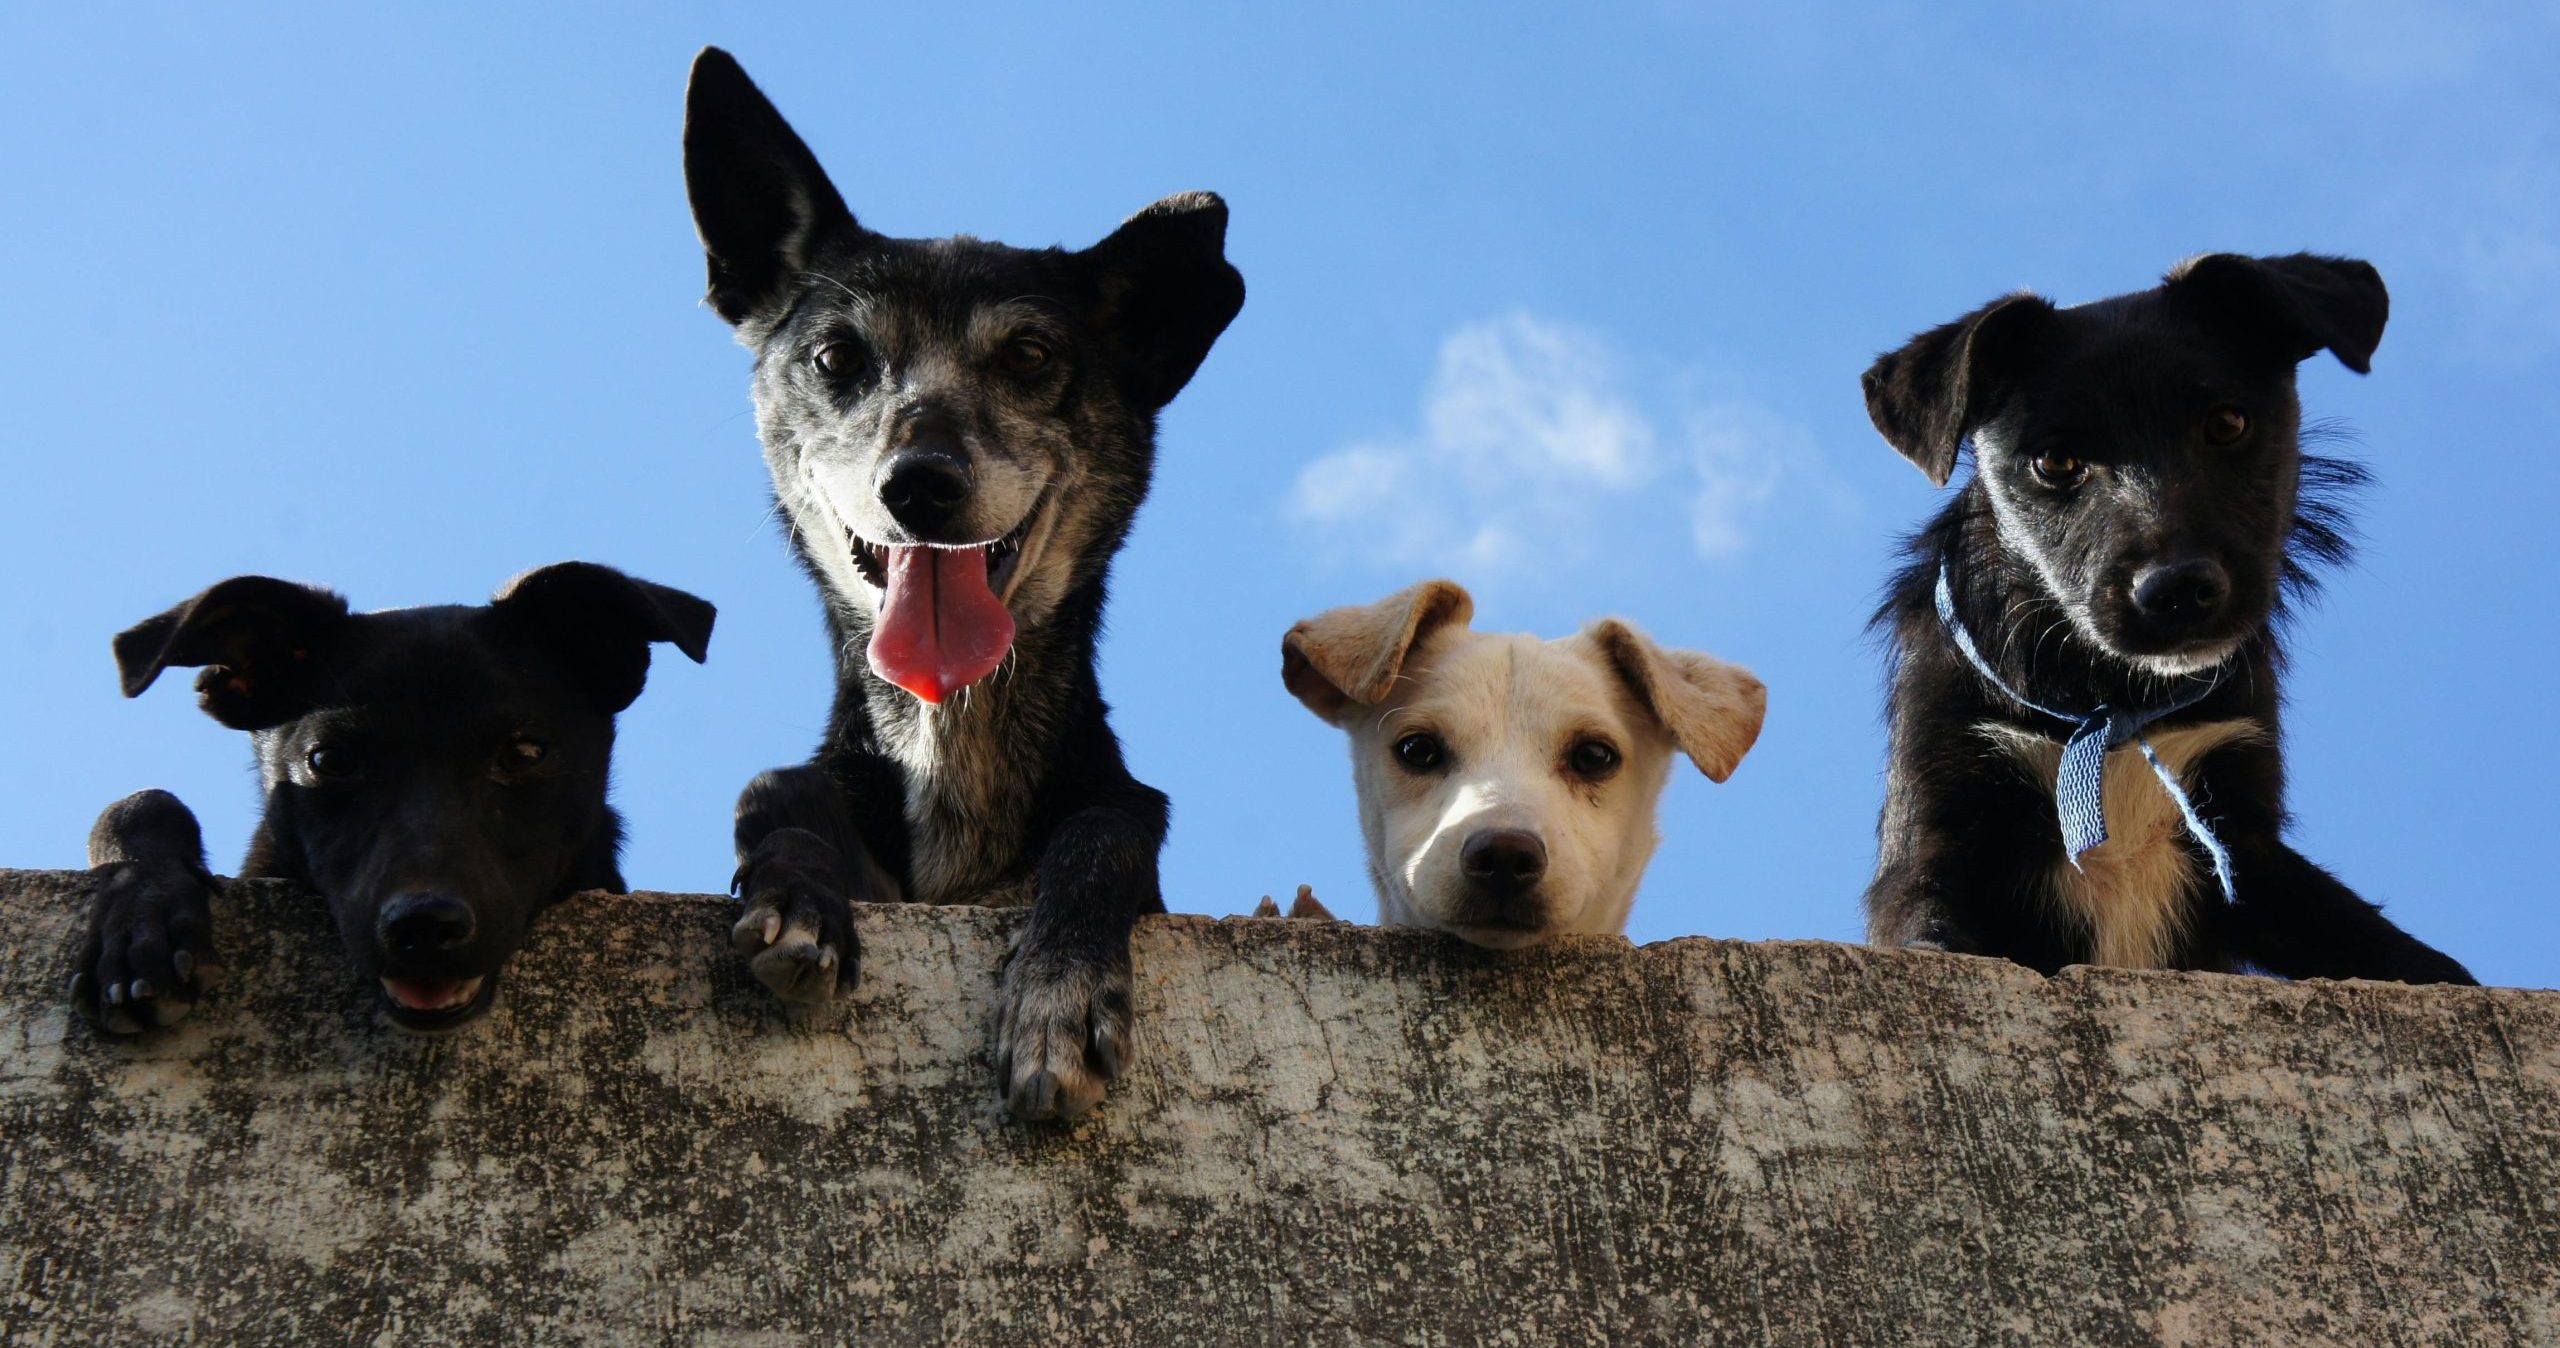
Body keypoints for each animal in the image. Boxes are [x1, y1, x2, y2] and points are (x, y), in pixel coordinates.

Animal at [675, 50, 1244, 1120]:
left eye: (1029, 355)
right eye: (837, 357)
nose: (921, 483)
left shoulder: (1118, 822)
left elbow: (1105, 831)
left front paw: (1059, 994)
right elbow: (774, 785)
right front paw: (797, 898)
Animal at [1863, 253, 2478, 987]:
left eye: (2227, 423)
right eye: (2055, 462)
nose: (2178, 589)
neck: (2113, 707)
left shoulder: (2243, 841)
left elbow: (2388, 947)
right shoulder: (1935, 830)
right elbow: (1928, 928)